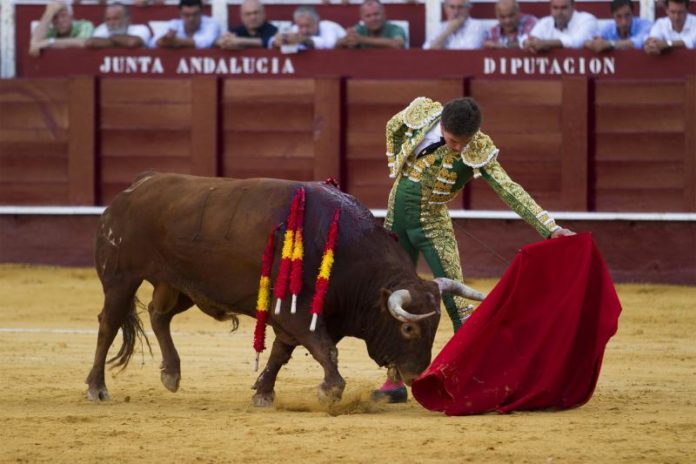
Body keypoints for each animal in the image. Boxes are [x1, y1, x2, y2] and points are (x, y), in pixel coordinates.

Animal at [85, 172, 484, 404]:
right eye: (408, 328)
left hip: (178, 284)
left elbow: (281, 353)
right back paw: (97, 388)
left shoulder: (300, 318)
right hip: (121, 277)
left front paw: (263, 392)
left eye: (435, 326)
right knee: (108, 325)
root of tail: (126, 195)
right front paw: (329, 391)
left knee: (158, 315)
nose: (416, 375)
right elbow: (324, 350)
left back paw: (171, 373)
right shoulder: (295, 311)